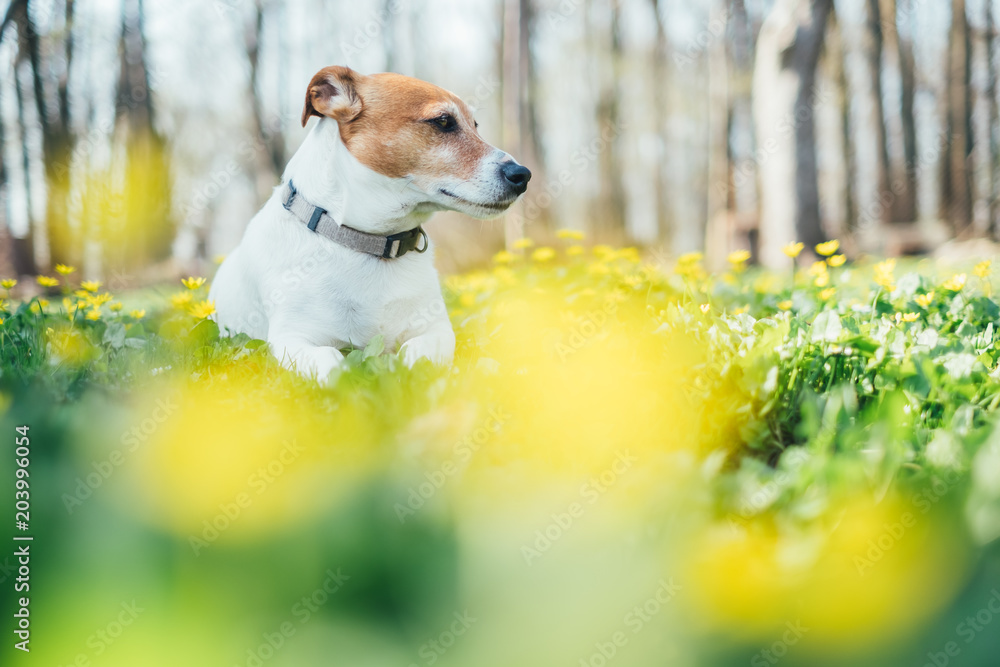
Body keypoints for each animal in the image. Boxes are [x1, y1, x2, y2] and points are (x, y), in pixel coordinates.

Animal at [210, 68, 532, 384]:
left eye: (475, 125)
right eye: (443, 121)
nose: (523, 174)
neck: (373, 242)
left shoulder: (436, 329)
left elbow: (418, 356)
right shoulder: (293, 338)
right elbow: (333, 366)